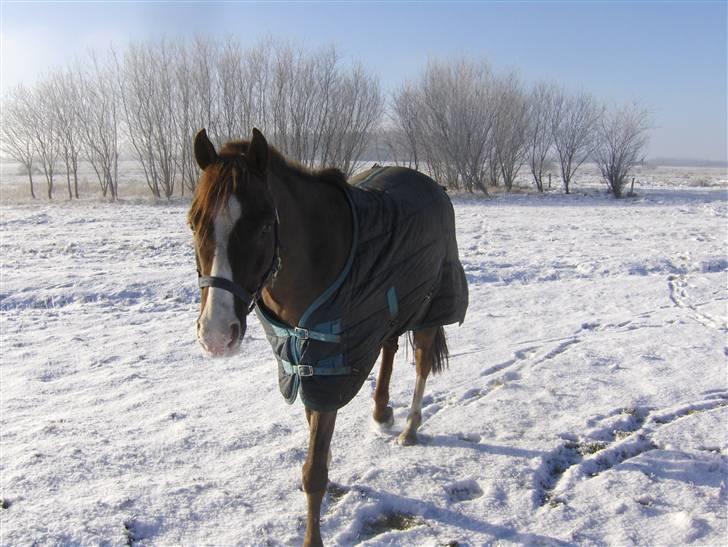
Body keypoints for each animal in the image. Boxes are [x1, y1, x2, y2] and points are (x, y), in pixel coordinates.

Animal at [189, 130, 466, 547]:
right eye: (194, 222)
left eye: (263, 227)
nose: (216, 334)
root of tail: (431, 183)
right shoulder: (303, 365)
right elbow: (315, 440)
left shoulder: (325, 368)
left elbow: (314, 470)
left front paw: (313, 533)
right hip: (389, 308)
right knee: (389, 347)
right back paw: (381, 411)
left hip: (430, 307)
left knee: (421, 362)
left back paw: (409, 429)